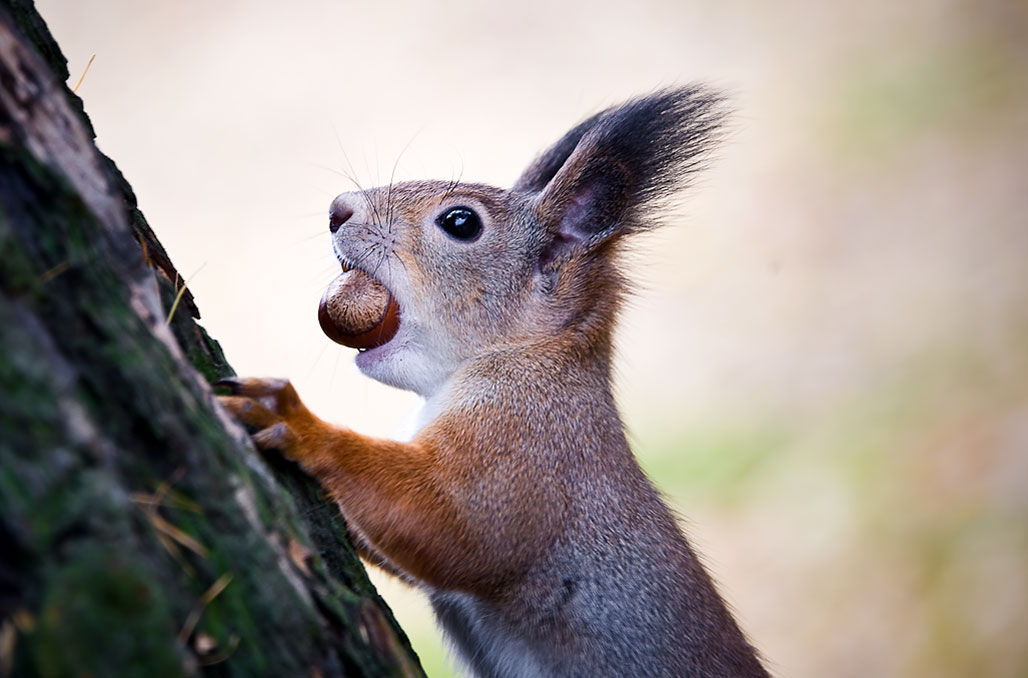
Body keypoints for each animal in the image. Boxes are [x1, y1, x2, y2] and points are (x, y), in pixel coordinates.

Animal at [223, 88, 773, 678]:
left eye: (461, 222)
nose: (338, 208)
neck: (526, 358)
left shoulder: (527, 447)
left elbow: (451, 524)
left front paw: (296, 421)